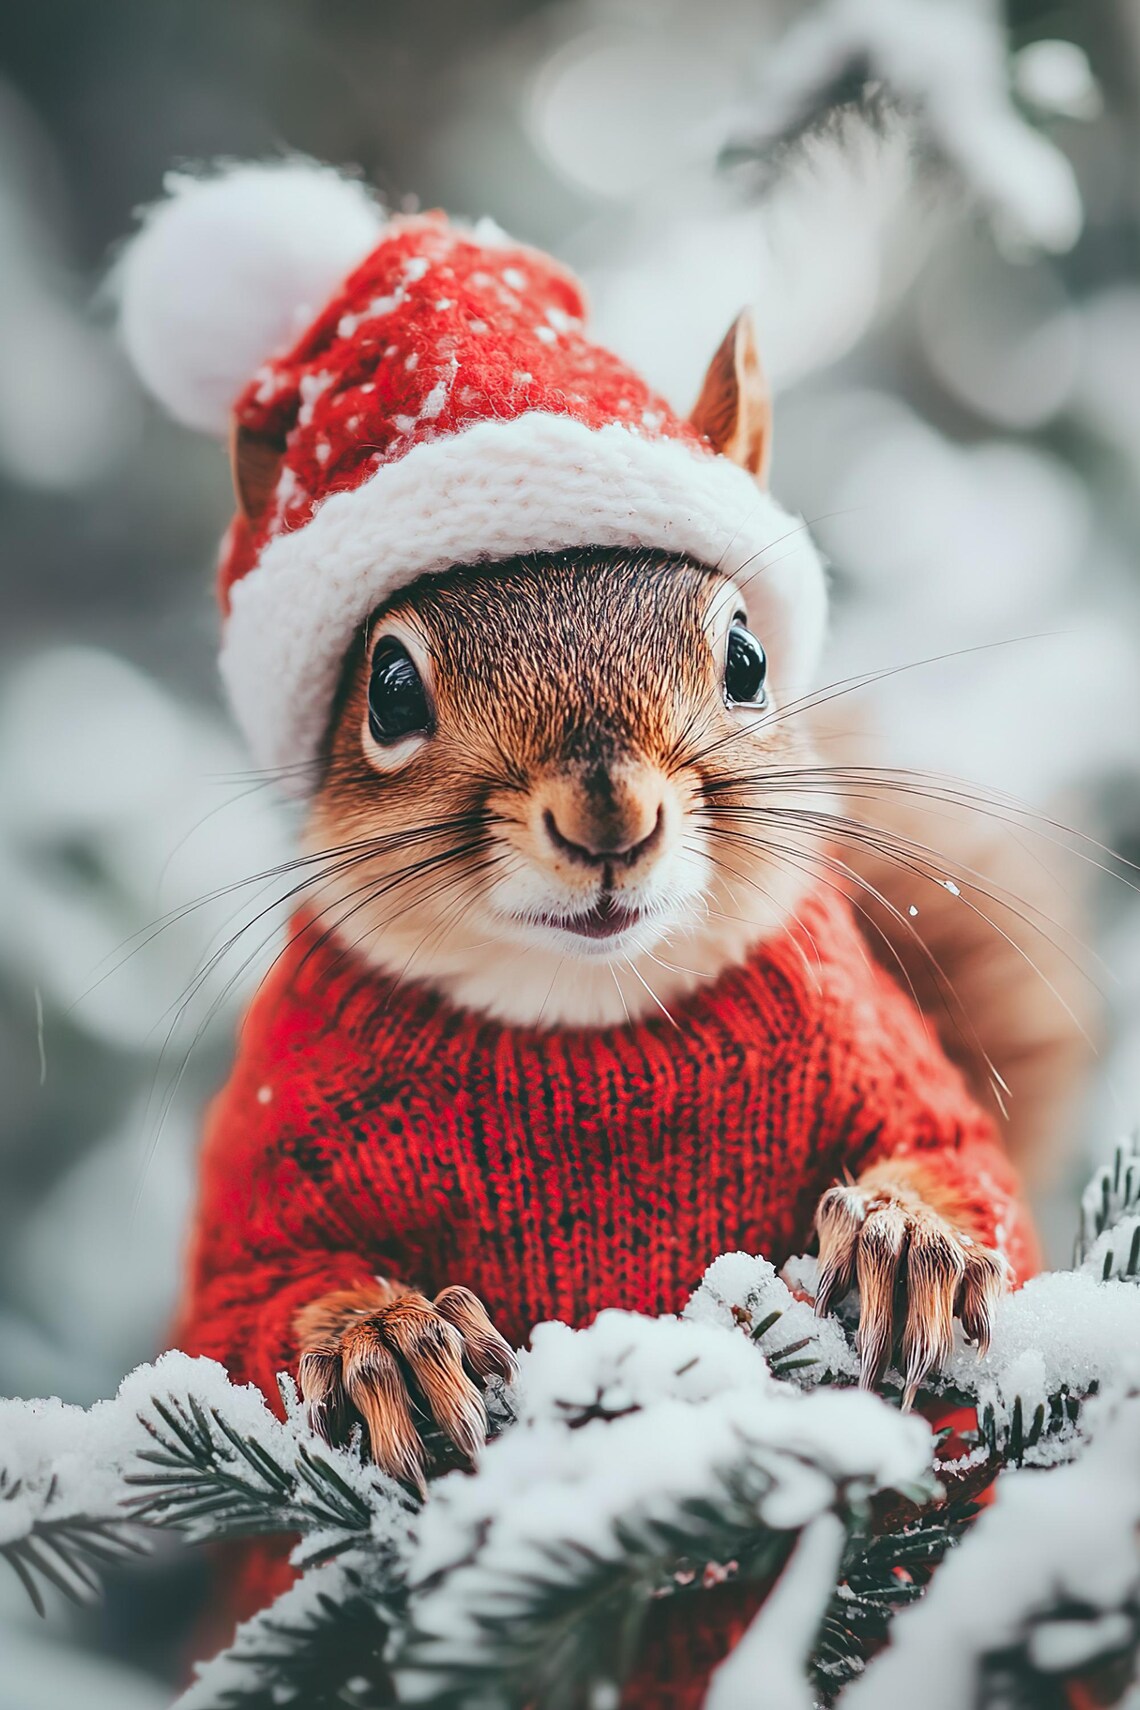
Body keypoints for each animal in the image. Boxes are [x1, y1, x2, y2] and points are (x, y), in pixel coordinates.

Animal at [116, 162, 1085, 1702]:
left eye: (746, 658)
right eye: (390, 687)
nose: (609, 812)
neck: (585, 1017)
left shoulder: (873, 1047)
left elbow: (970, 1167)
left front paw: (905, 1239)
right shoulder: (274, 1147)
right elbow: (246, 1303)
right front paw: (387, 1338)